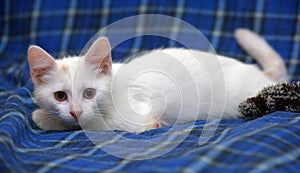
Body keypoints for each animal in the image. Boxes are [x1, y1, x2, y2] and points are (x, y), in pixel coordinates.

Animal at [28, 28, 288, 132]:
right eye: (60, 96)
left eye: (89, 93)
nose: (75, 111)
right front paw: (49, 117)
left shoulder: (139, 118)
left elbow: (96, 126)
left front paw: (47, 118)